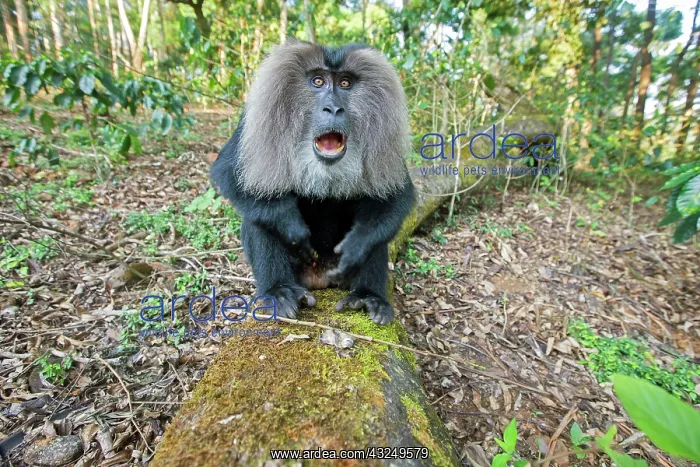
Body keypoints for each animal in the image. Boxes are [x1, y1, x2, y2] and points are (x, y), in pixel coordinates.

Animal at [211, 40, 415, 325]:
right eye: (318, 81)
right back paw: (280, 292)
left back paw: (367, 296)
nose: (333, 109)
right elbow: (229, 174)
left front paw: (358, 245)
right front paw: (292, 229)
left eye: (344, 83)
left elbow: (395, 198)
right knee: (258, 215)